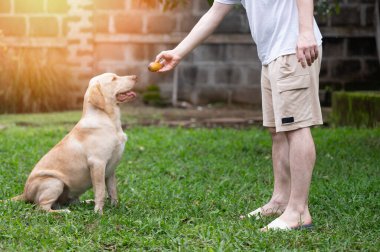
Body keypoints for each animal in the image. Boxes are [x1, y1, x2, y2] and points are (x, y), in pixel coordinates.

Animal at [8, 73, 137, 215]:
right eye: (114, 79)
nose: (135, 77)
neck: (110, 120)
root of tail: (25, 193)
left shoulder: (111, 169)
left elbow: (113, 190)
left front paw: (116, 207)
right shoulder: (97, 163)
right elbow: (100, 191)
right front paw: (99, 212)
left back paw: (86, 202)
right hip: (55, 182)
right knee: (42, 207)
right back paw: (64, 212)